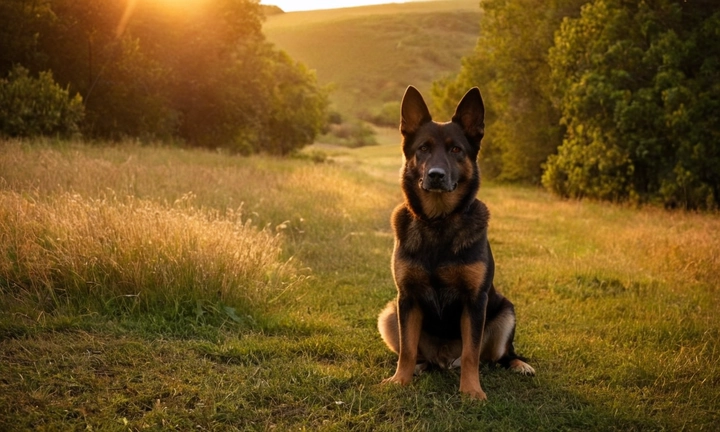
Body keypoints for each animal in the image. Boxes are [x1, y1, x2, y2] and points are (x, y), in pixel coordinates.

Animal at [376, 86, 536, 400]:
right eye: (423, 148)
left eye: (456, 150)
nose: (436, 175)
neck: (439, 222)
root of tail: (444, 360)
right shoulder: (407, 298)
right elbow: (407, 350)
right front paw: (400, 380)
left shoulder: (475, 301)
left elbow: (472, 353)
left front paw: (472, 391)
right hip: (389, 314)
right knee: (416, 353)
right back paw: (420, 367)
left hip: (505, 313)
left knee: (498, 356)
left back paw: (519, 364)